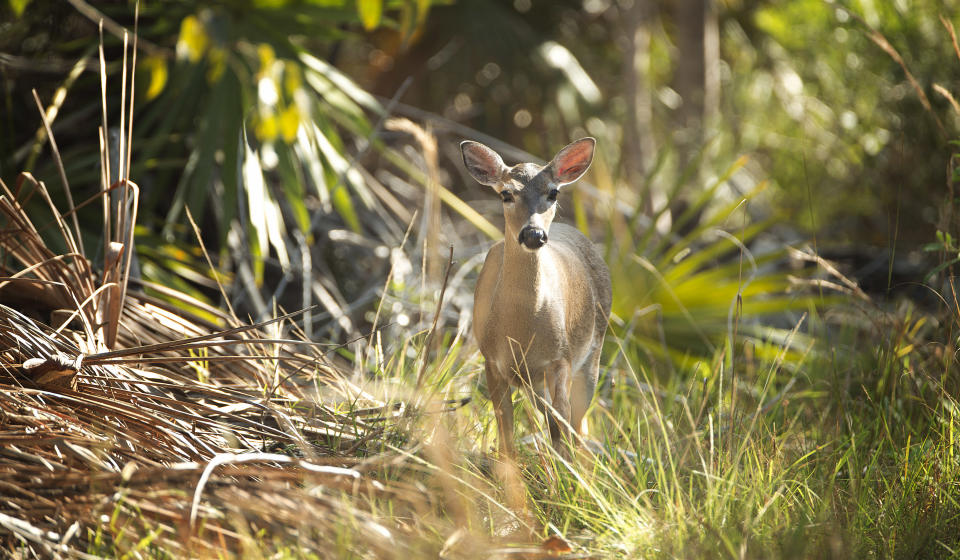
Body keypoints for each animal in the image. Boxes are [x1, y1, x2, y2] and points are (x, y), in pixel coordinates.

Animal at [462, 138, 612, 458]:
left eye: (553, 192)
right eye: (506, 193)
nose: (533, 234)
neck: (520, 332)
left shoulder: (561, 358)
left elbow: (562, 423)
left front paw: (563, 472)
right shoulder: (491, 360)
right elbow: (506, 431)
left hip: (592, 352)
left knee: (577, 424)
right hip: (534, 381)